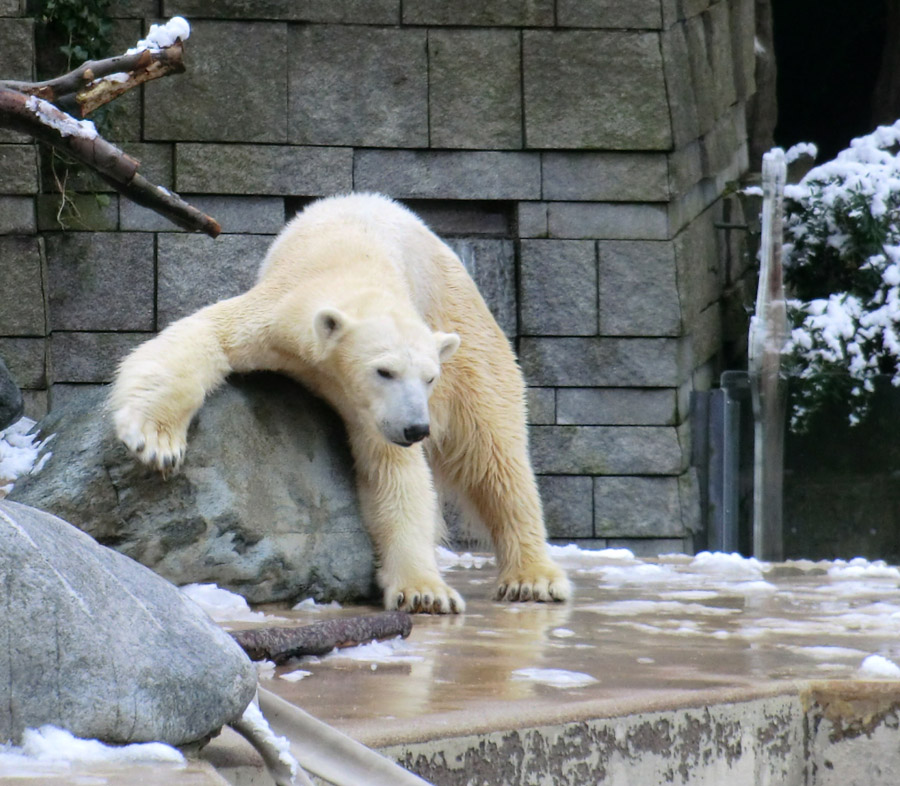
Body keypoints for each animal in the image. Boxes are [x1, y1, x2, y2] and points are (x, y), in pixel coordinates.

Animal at [107, 191, 568, 612]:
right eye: (384, 371)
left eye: (429, 377)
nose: (416, 428)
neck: (350, 261)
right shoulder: (281, 316)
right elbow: (203, 335)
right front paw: (156, 444)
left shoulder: (381, 406)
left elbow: (395, 473)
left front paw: (423, 592)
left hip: (465, 328)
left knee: (493, 450)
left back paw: (534, 579)